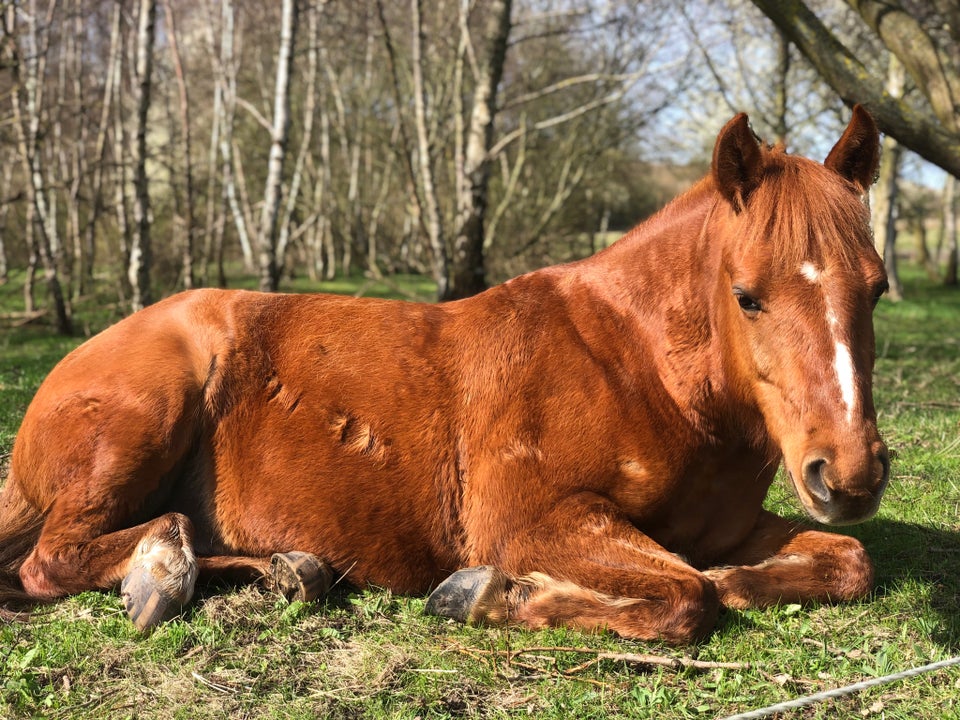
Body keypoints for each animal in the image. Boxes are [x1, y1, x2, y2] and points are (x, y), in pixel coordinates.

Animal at [0, 105, 892, 640]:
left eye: (878, 288)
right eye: (747, 295)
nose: (848, 472)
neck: (638, 368)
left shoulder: (722, 528)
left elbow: (843, 561)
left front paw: (747, 577)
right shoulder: (533, 522)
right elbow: (685, 597)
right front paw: (496, 594)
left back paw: (283, 571)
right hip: (146, 421)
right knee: (55, 559)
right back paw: (161, 571)